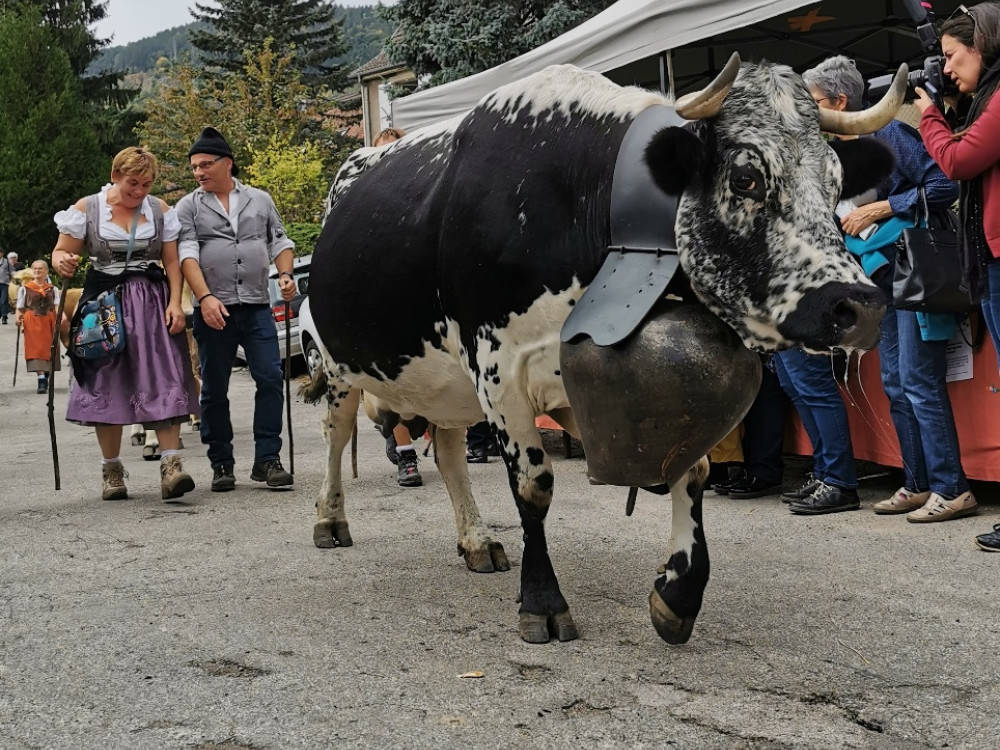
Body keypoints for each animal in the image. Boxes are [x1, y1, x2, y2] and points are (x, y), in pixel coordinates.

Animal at [306, 57, 908, 648]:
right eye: (746, 177)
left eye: (836, 184)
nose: (859, 305)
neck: (585, 203)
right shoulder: (498, 368)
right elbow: (533, 486)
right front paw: (542, 603)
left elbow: (694, 471)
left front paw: (677, 593)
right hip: (337, 368)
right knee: (336, 437)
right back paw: (330, 521)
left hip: (445, 383)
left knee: (451, 453)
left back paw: (476, 540)